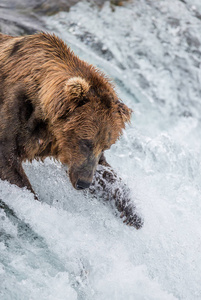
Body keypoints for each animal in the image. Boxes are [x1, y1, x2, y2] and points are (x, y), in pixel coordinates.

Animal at [0, 32, 142, 229]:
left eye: (106, 146)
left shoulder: (59, 146)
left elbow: (106, 174)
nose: (84, 183)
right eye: (85, 141)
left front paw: (133, 214)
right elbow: (7, 158)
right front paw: (36, 204)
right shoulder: (17, 107)